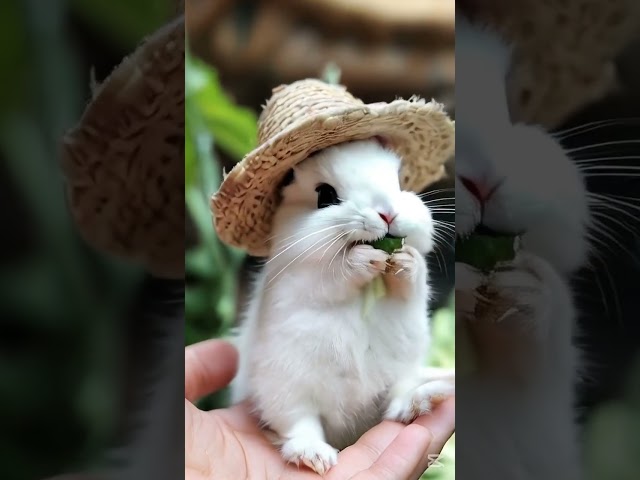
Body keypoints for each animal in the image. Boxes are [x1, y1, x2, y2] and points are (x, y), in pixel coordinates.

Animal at [230, 139, 456, 476]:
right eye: (325, 196)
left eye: (400, 183)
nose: (388, 214)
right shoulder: (307, 276)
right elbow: (335, 276)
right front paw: (365, 259)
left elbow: (413, 281)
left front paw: (406, 261)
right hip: (284, 387)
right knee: (299, 424)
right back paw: (314, 456)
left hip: (401, 369)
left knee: (395, 405)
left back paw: (422, 399)